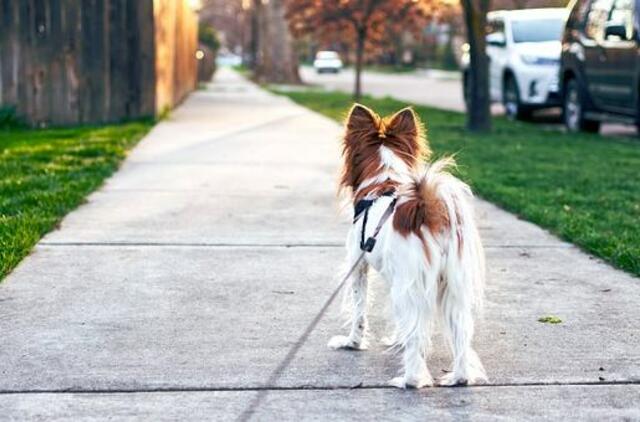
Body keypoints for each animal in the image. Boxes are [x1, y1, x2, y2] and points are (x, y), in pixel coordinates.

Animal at [328, 104, 488, 390]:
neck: (384, 180)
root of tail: (429, 209)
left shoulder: (359, 265)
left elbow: (359, 311)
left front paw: (352, 343)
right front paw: (396, 339)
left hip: (411, 284)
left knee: (416, 337)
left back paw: (409, 380)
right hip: (452, 286)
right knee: (461, 333)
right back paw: (458, 378)